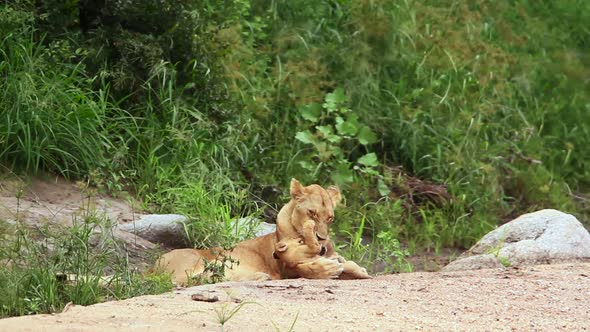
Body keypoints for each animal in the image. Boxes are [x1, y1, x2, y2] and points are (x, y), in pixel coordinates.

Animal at [157, 178, 370, 284]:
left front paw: (354, 268)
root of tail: (153, 267)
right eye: (312, 213)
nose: (322, 239)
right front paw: (329, 268)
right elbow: (303, 268)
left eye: (330, 218)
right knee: (186, 281)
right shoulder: (285, 266)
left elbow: (344, 262)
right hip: (193, 262)